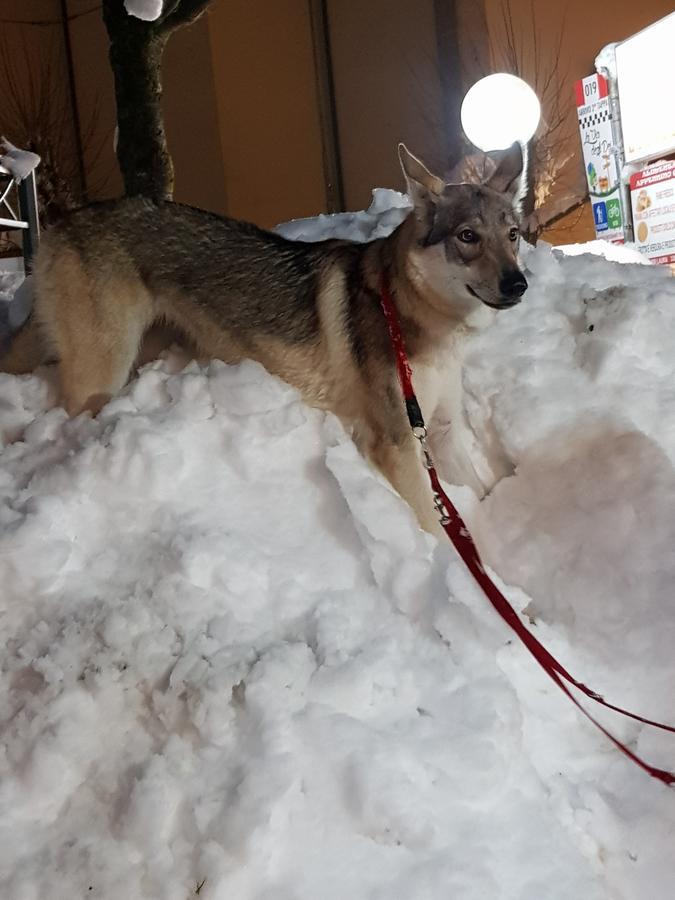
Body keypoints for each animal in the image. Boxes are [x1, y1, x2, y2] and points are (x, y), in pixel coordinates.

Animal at [0, 143, 528, 532]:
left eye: (514, 236)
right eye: (467, 237)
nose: (519, 285)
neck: (414, 317)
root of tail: (61, 224)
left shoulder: (443, 431)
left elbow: (480, 498)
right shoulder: (396, 441)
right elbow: (437, 528)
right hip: (101, 376)